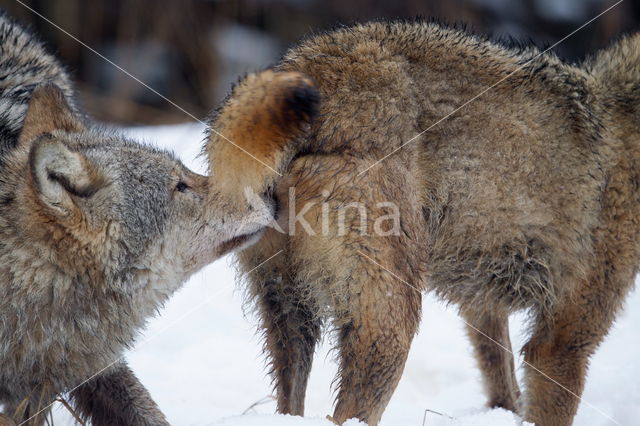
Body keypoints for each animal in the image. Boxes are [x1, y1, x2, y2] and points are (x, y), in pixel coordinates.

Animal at [206, 20, 640, 426]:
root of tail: (314, 66)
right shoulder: (562, 343)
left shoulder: (482, 306)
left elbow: (502, 383)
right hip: (392, 326)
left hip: (291, 317)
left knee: (289, 405)